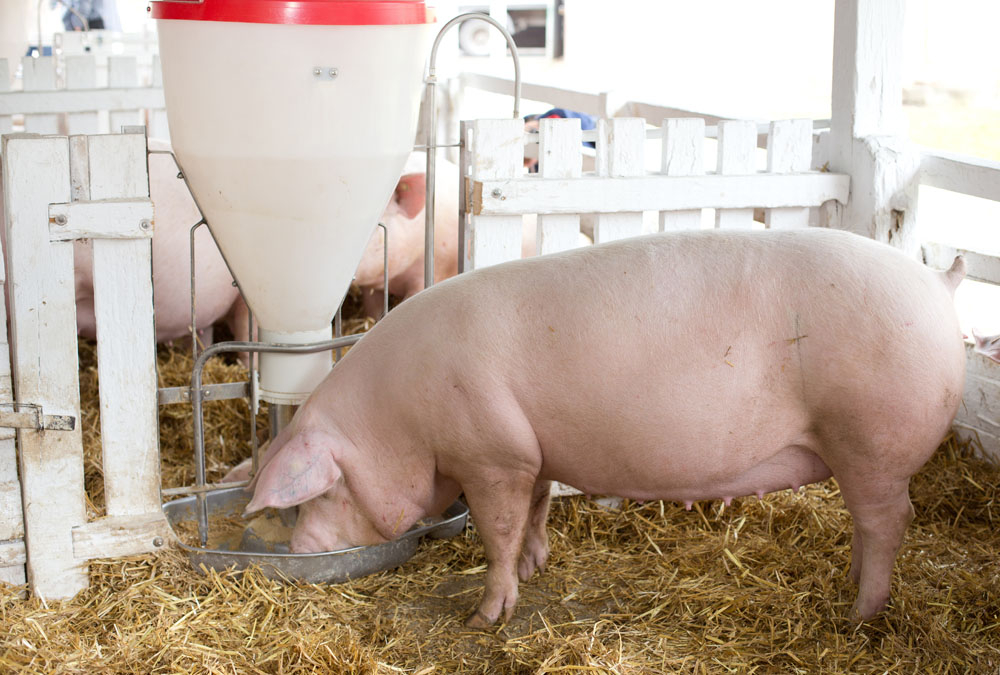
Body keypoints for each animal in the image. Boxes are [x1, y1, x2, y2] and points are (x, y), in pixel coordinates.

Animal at [244, 228, 968, 628]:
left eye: (323, 493)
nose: (299, 551)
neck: (403, 412)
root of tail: (937, 281)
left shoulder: (492, 454)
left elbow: (498, 531)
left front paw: (485, 615)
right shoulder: (532, 450)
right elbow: (537, 510)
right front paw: (537, 565)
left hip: (872, 437)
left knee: (888, 520)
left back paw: (859, 612)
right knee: (871, 525)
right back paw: (848, 589)